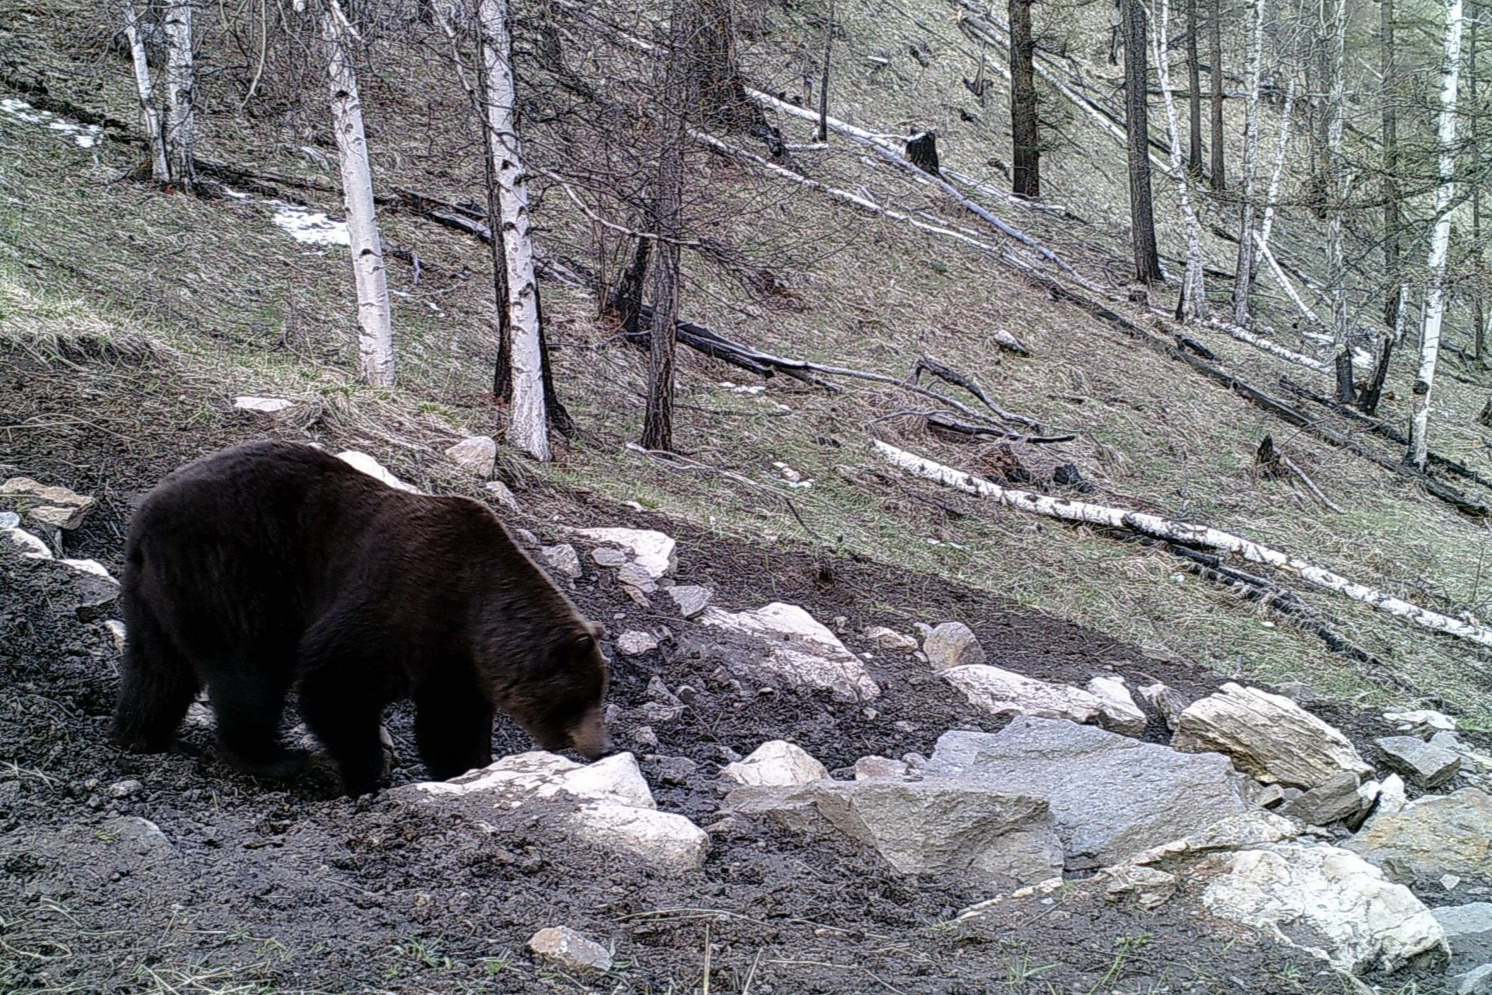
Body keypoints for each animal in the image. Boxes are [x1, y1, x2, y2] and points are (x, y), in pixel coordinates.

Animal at [108, 438, 611, 799]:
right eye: (583, 697)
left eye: (598, 694)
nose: (601, 747)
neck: (474, 616)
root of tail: (147, 512)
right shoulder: (405, 601)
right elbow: (336, 681)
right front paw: (367, 777)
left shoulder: (453, 662)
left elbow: (450, 723)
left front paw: (468, 769)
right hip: (232, 572)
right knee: (247, 669)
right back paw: (276, 759)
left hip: (154, 590)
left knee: (156, 666)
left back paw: (142, 735)